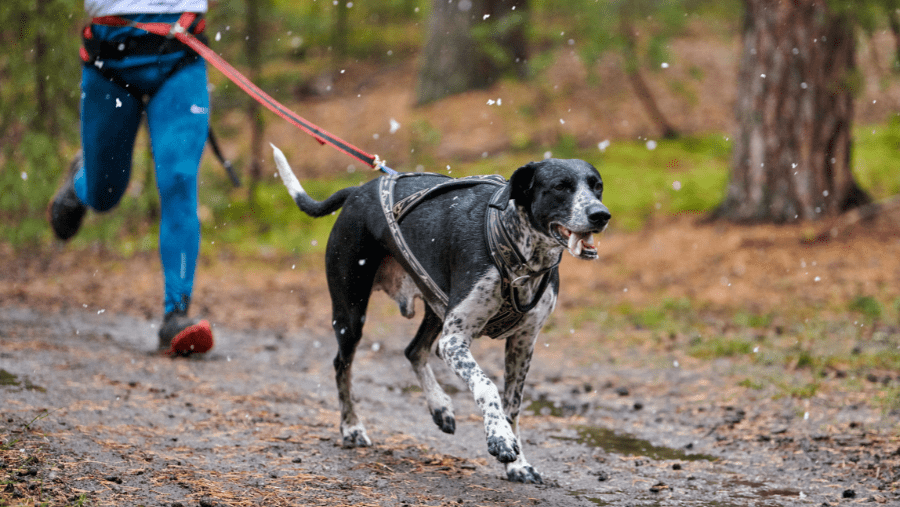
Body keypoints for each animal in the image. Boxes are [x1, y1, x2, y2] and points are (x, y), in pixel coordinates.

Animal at [270, 146, 608, 484]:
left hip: (436, 308)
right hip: (351, 314)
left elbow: (512, 406)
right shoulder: (455, 341)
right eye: (561, 187)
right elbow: (487, 386)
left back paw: (439, 406)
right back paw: (352, 427)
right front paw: (499, 438)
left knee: (414, 350)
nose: (601, 214)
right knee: (343, 365)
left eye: (597, 186)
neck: (518, 253)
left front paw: (518, 463)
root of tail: (356, 191)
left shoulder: (522, 343)